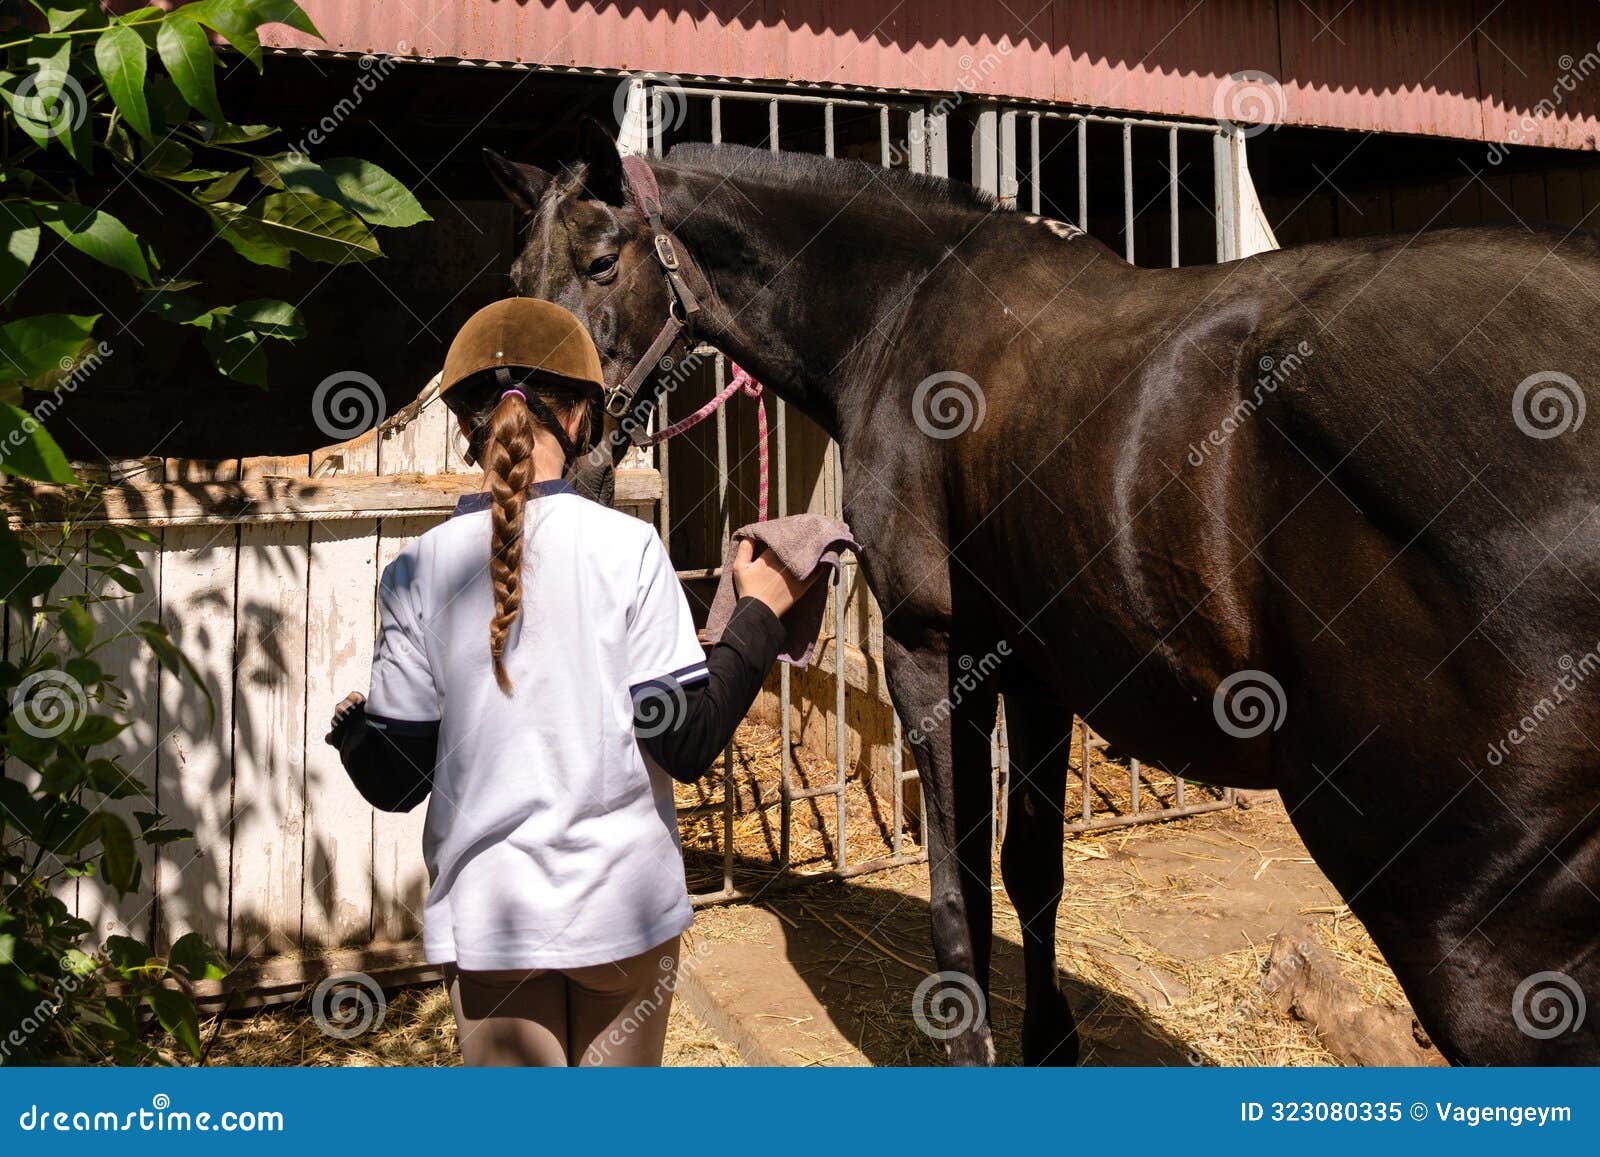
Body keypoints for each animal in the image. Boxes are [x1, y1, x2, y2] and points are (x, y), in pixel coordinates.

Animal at [486, 128, 1600, 1068]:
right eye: (516, 282)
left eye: (600, 264)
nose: (544, 447)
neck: (897, 315)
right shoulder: (1036, 667)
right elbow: (1030, 865)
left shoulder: (933, 651)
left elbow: (960, 877)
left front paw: (965, 1039)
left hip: (1465, 920)